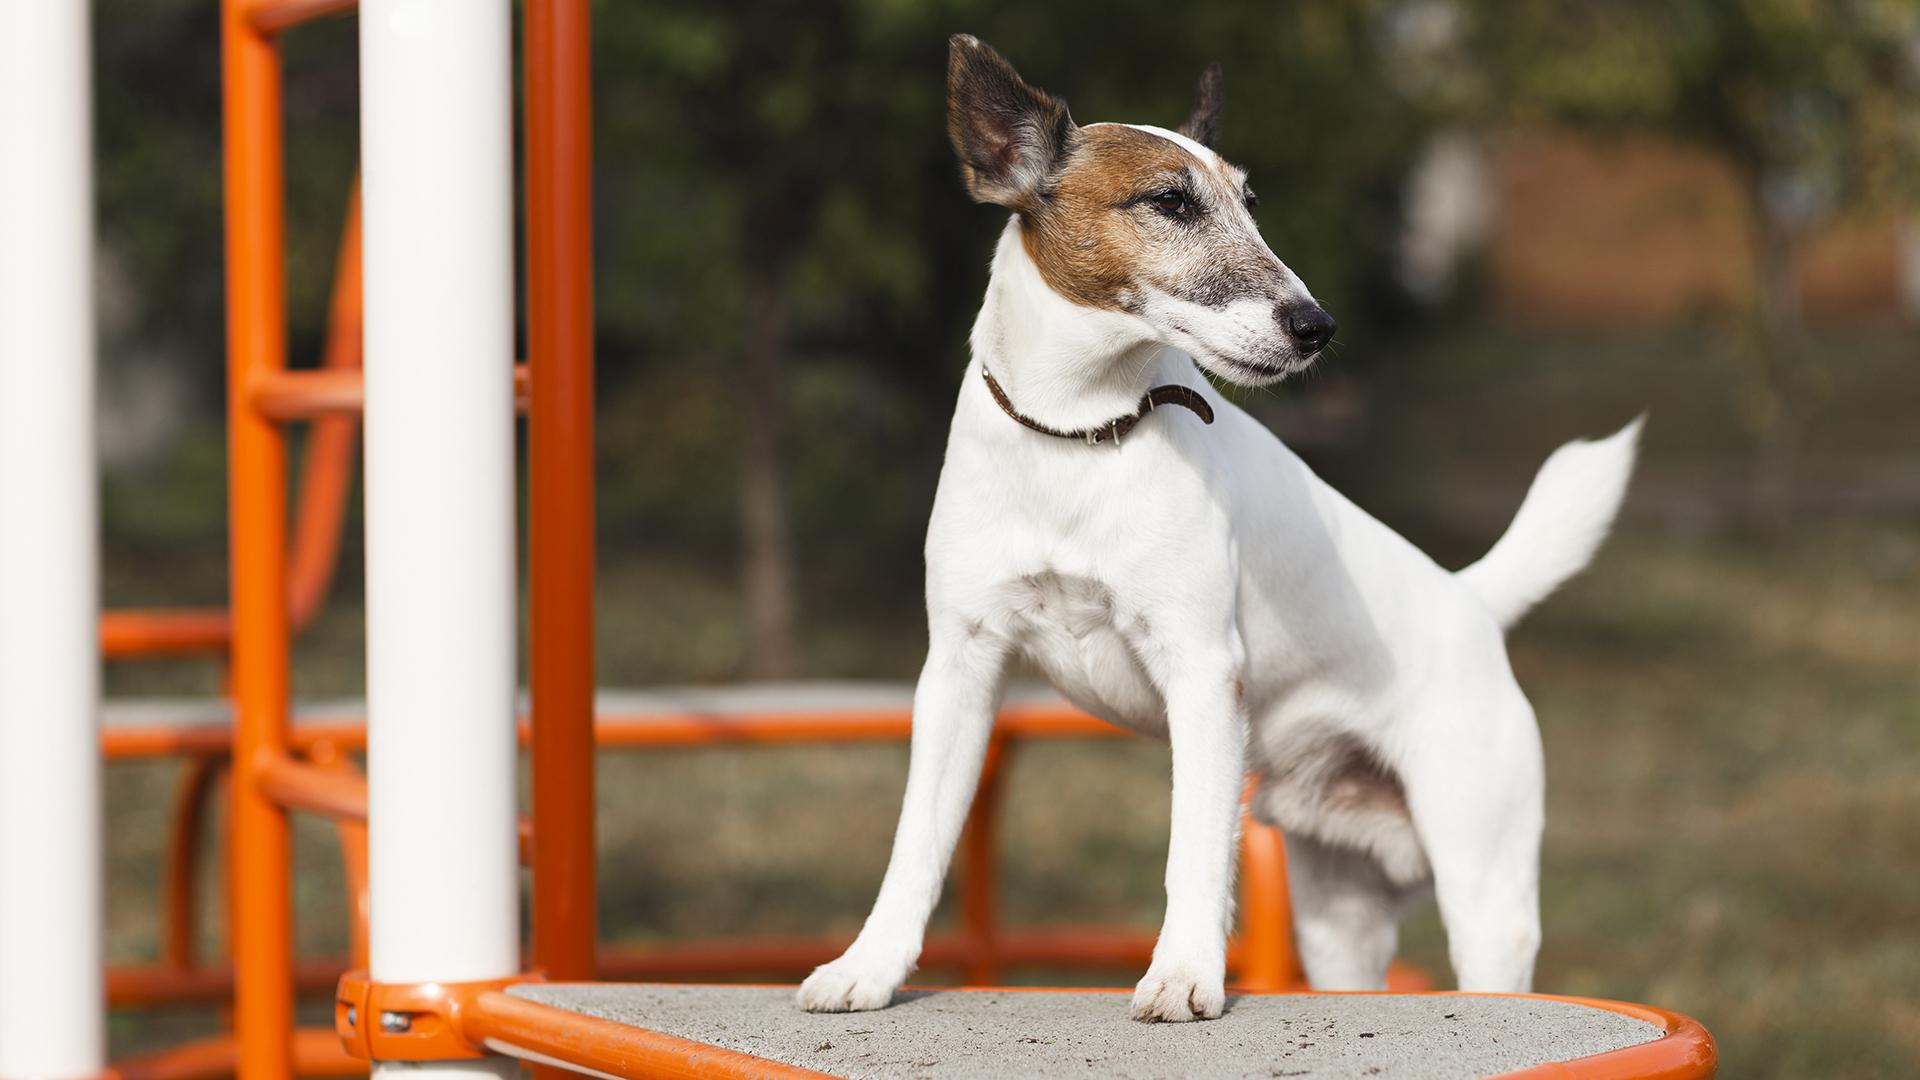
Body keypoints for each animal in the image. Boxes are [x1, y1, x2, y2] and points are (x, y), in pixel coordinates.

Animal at [794, 33, 1635, 1022]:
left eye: (1252, 207)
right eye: (1170, 202)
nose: (1317, 325)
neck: (1081, 435)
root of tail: (1469, 601)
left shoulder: (1201, 672)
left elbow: (1192, 847)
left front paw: (1186, 972)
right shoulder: (961, 670)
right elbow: (916, 840)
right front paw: (870, 965)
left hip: (1484, 890)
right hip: (1339, 917)